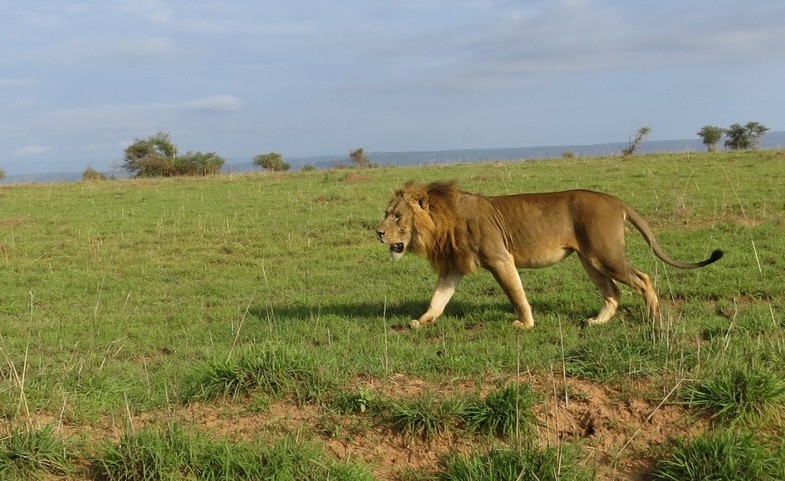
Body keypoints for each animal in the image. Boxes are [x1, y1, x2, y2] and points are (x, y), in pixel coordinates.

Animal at [374, 181, 724, 330]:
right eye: (386, 214)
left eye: (397, 217)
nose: (377, 232)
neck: (443, 220)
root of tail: (615, 199)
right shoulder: (452, 267)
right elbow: (438, 297)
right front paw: (422, 321)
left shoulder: (500, 258)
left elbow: (516, 293)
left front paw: (525, 324)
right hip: (590, 259)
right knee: (612, 292)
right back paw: (597, 322)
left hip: (605, 254)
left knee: (643, 278)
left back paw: (653, 318)